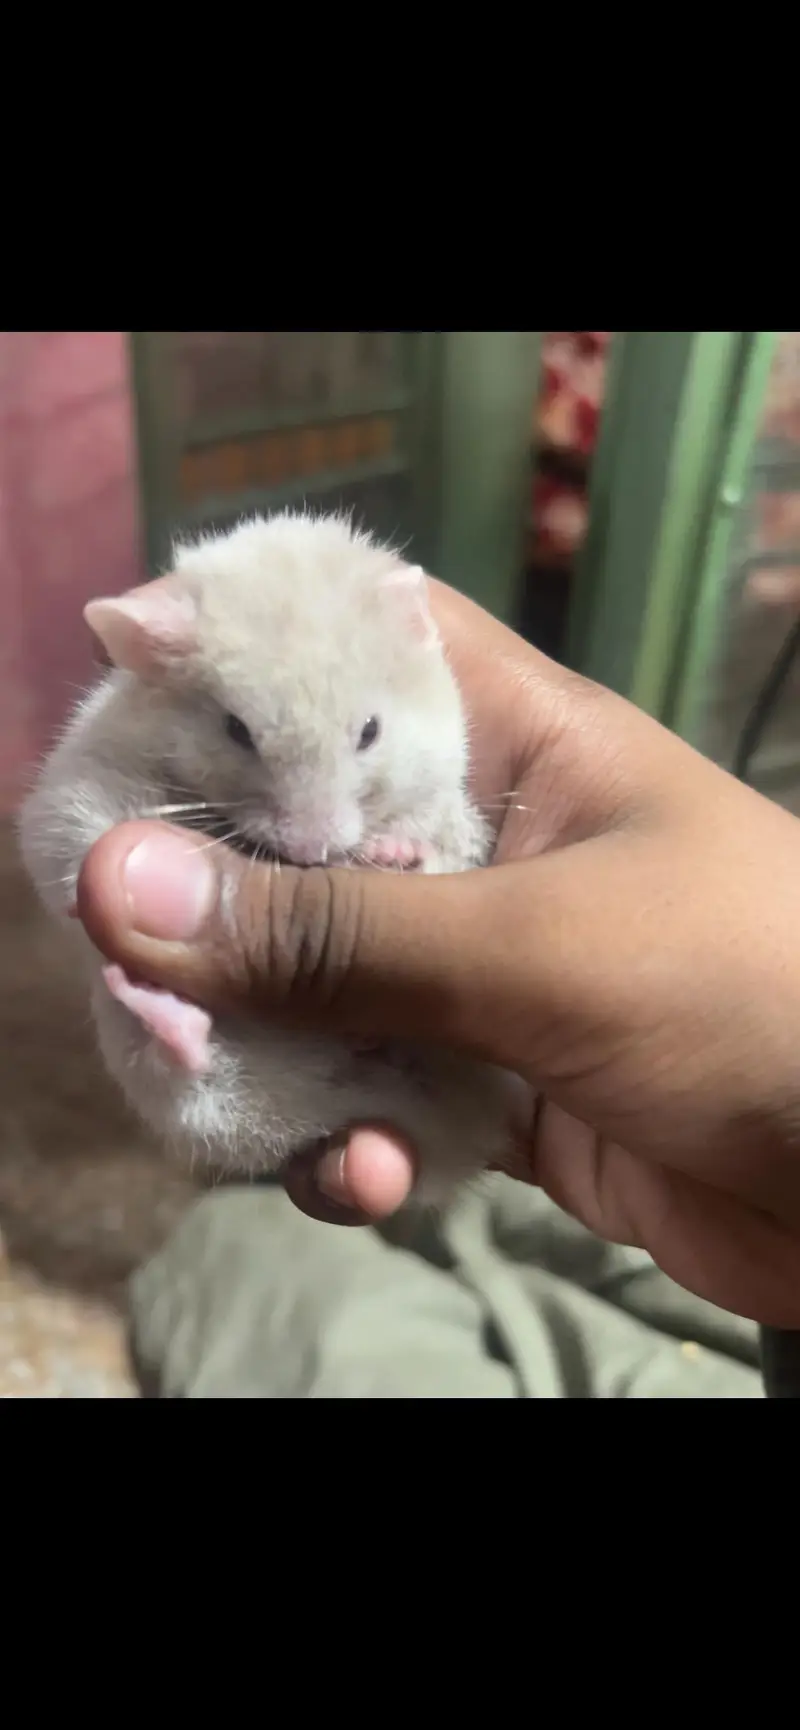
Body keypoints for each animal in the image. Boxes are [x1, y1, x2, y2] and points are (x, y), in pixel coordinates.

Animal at [18, 511, 526, 1208]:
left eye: (370, 731)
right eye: (237, 730)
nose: (313, 856)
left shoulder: (456, 813)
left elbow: (446, 851)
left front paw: (394, 852)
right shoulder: (69, 795)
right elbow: (77, 857)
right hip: (174, 1086)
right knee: (196, 1071)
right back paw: (151, 1000)